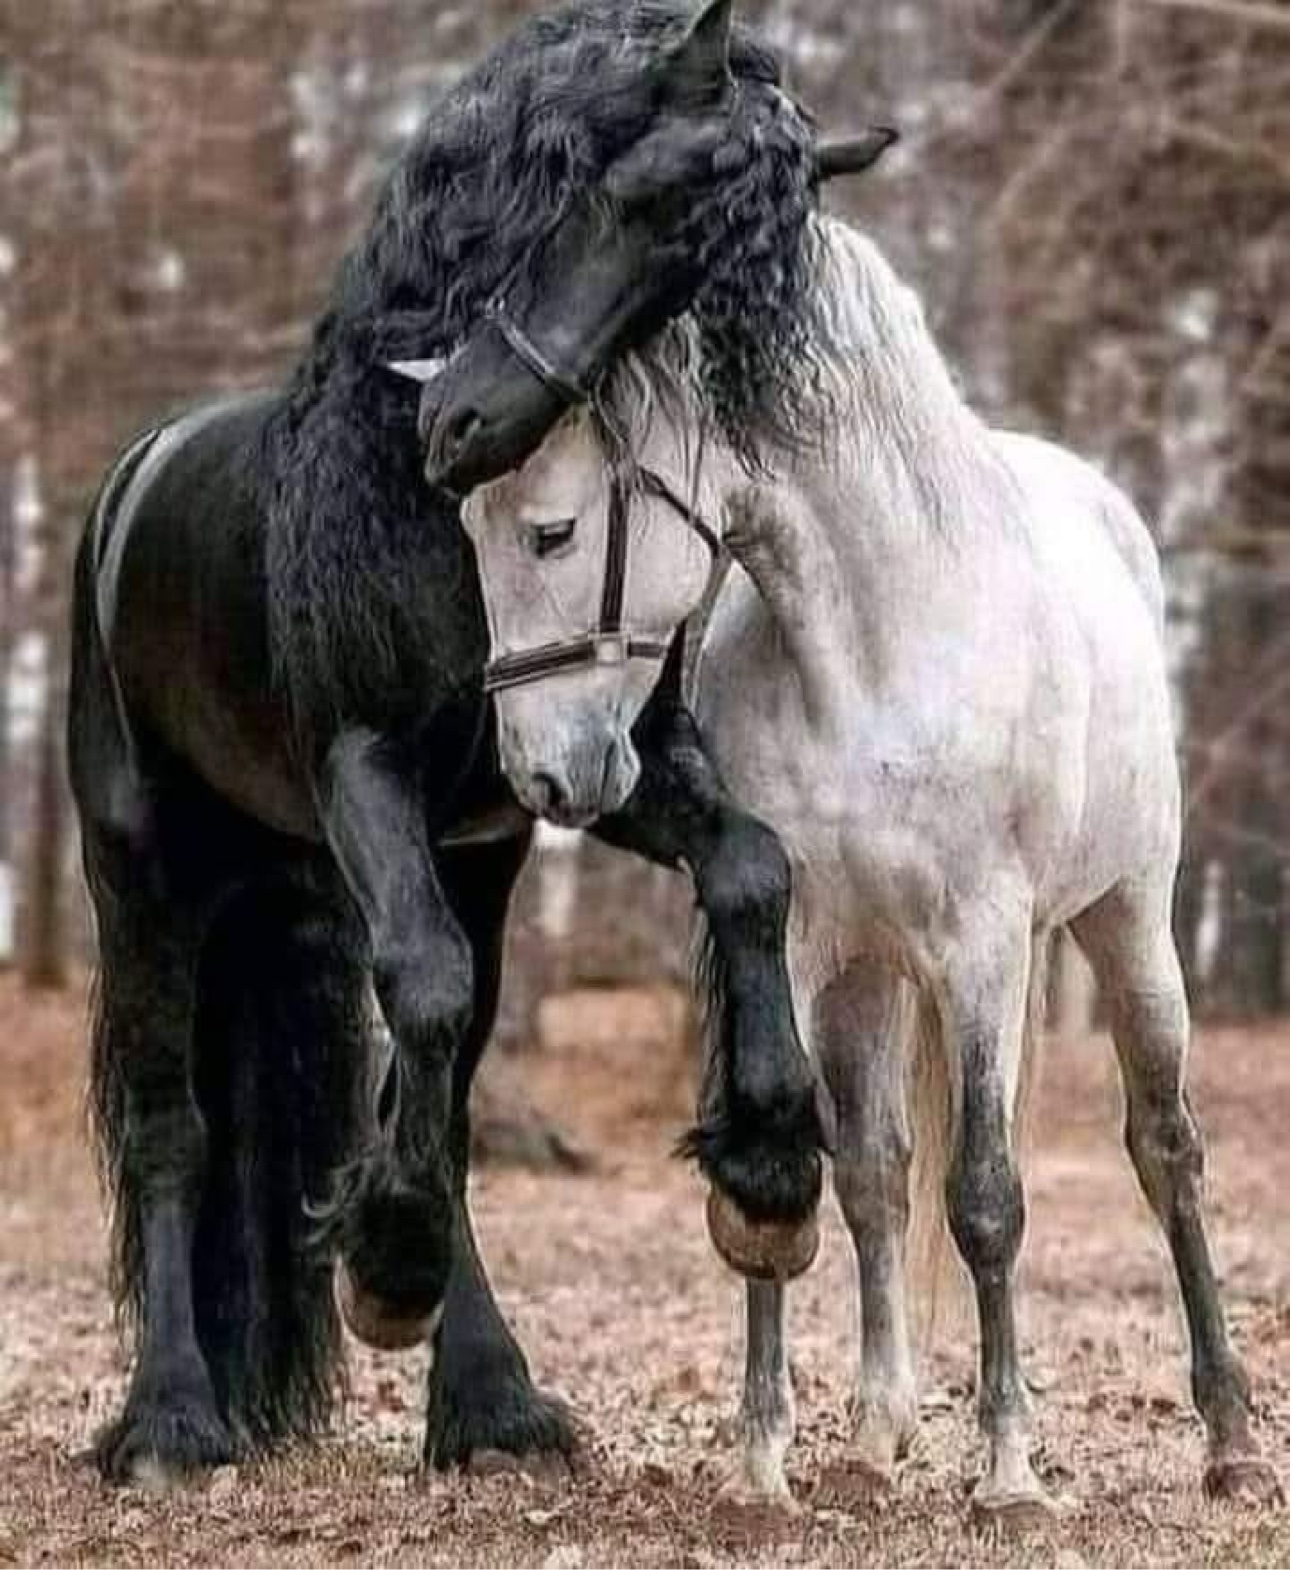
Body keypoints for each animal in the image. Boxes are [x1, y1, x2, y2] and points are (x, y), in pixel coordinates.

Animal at [69, 0, 884, 1485]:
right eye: (630, 195)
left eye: (703, 272)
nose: (461, 425)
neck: (427, 517)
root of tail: (130, 482)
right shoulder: (368, 768)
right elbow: (425, 995)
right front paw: (382, 1263)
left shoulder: (585, 766)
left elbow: (750, 870)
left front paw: (768, 1173)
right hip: (143, 872)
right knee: (172, 1128)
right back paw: (172, 1419)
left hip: (449, 866)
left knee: (437, 1097)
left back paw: (493, 1404)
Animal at [435, 213, 1284, 1520]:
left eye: (553, 530)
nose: (543, 776)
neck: (876, 645)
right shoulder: (795, 944)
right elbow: (805, 1171)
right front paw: (757, 1469)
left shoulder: (983, 948)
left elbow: (987, 1199)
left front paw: (1010, 1475)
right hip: (870, 981)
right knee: (881, 1173)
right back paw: (877, 1432)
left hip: (1128, 923)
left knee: (1166, 1148)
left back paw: (1230, 1437)